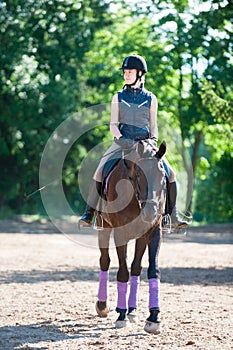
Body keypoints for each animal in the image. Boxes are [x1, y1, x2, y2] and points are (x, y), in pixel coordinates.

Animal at [93, 139, 167, 334]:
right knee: (105, 261)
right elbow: (122, 272)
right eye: (140, 176)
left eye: (162, 177)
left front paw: (153, 317)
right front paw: (121, 315)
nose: (150, 212)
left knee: (136, 267)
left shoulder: (153, 231)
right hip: (104, 228)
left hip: (141, 236)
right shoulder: (120, 232)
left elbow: (152, 270)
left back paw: (132, 310)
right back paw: (103, 305)